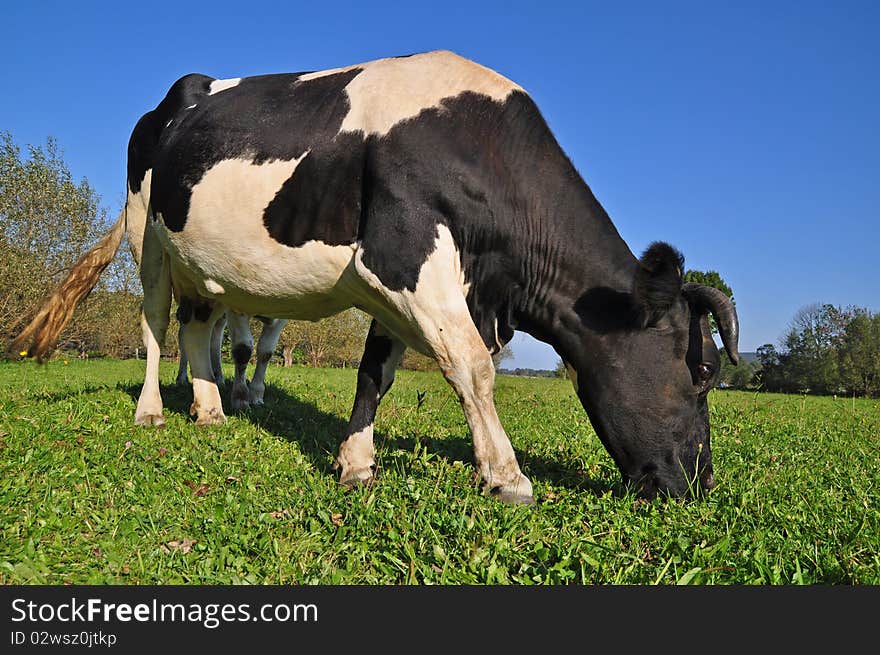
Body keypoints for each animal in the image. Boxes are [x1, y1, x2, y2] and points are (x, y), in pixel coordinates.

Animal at [17, 51, 740, 504]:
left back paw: (212, 408)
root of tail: (181, 93)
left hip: (205, 264)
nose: (703, 484)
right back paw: (151, 411)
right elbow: (472, 365)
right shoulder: (403, 254)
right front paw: (505, 476)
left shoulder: (407, 279)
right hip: (148, 235)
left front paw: (357, 462)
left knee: (199, 330)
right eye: (702, 373)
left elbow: (376, 373)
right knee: (151, 324)